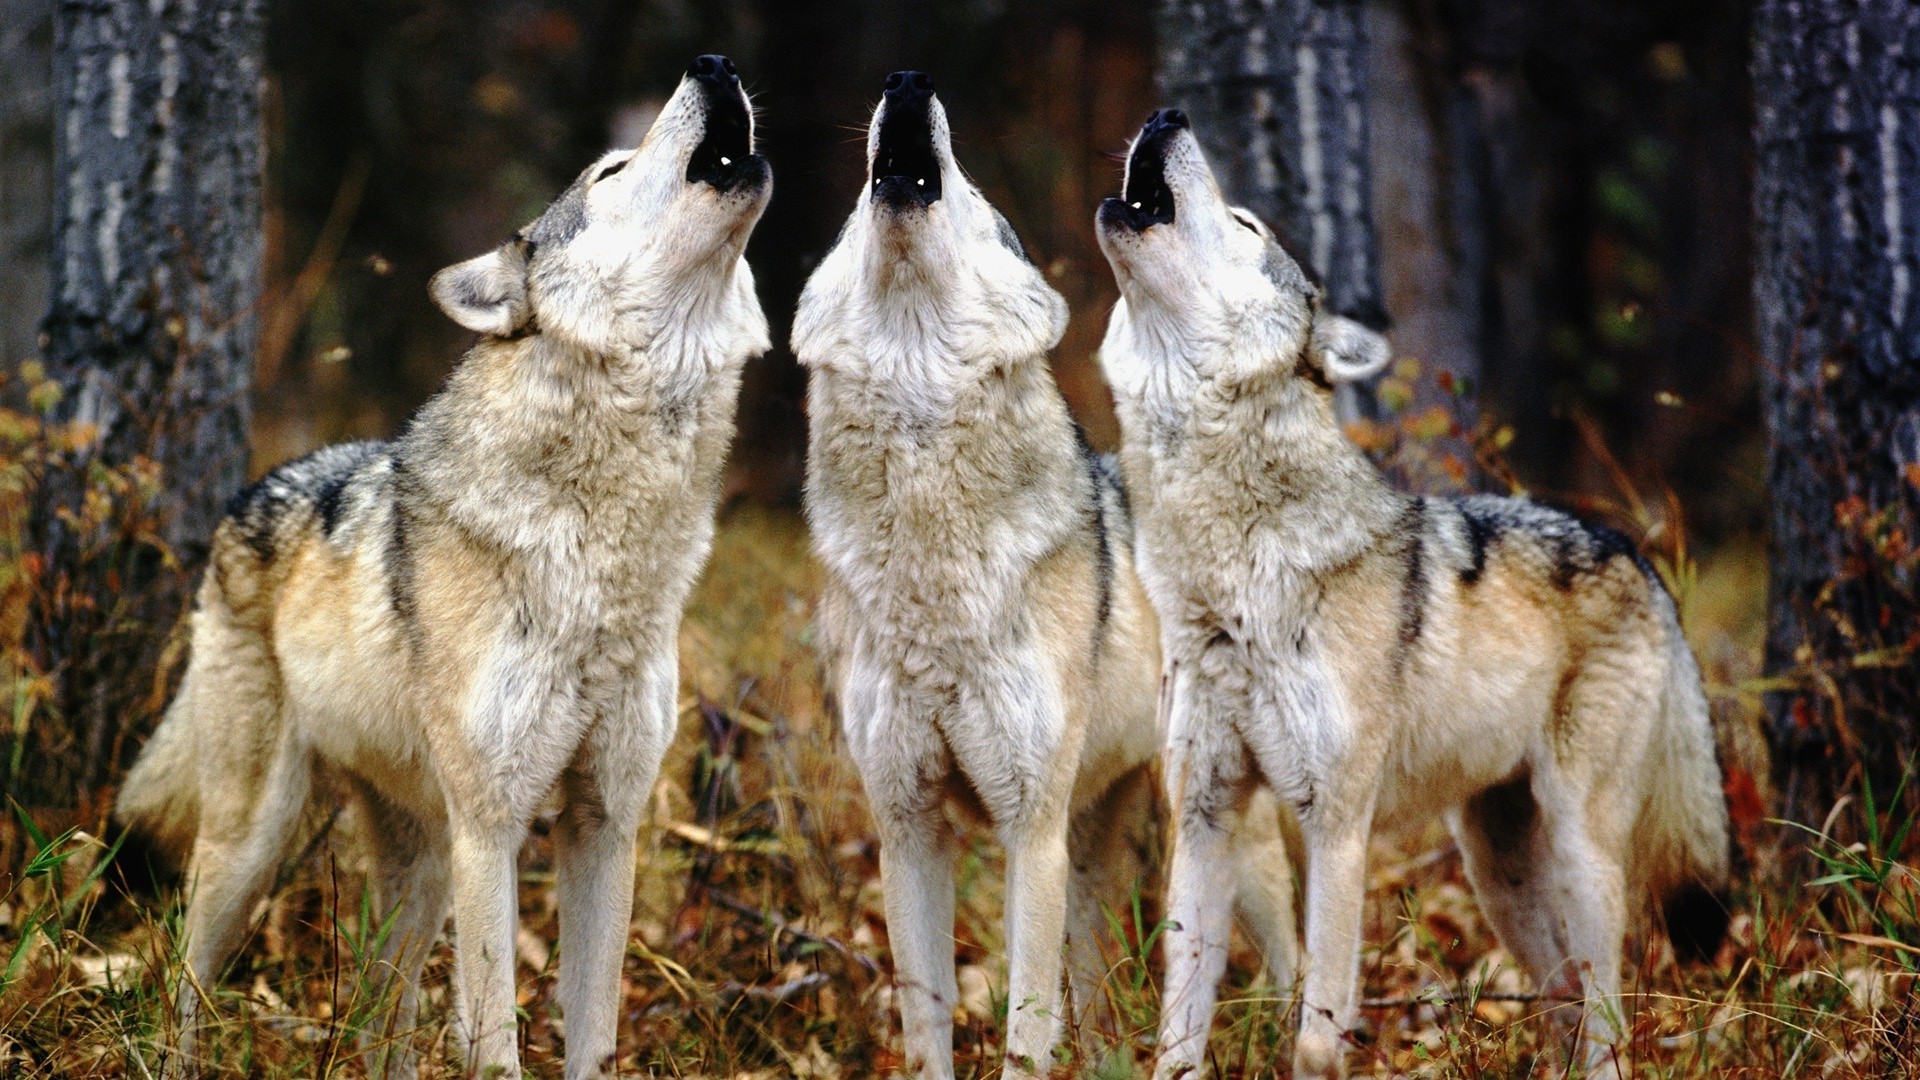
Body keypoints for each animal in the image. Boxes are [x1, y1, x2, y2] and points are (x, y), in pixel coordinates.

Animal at [787, 71, 1297, 1068]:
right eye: (852, 210)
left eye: (974, 194)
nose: (907, 82)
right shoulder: (907, 829)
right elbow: (927, 1022)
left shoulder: (1030, 831)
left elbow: (1025, 1031)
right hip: (1095, 846)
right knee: (1097, 1001)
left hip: (1214, 837)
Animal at [1090, 107, 1735, 1076]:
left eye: (1245, 224)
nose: (1168, 117)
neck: (1230, 580)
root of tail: (1634, 550)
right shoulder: (1205, 817)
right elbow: (1178, 1033)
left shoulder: (1336, 827)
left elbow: (1318, 1037)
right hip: (1497, 870)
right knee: (1562, 1001)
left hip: (1582, 853)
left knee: (1609, 1022)